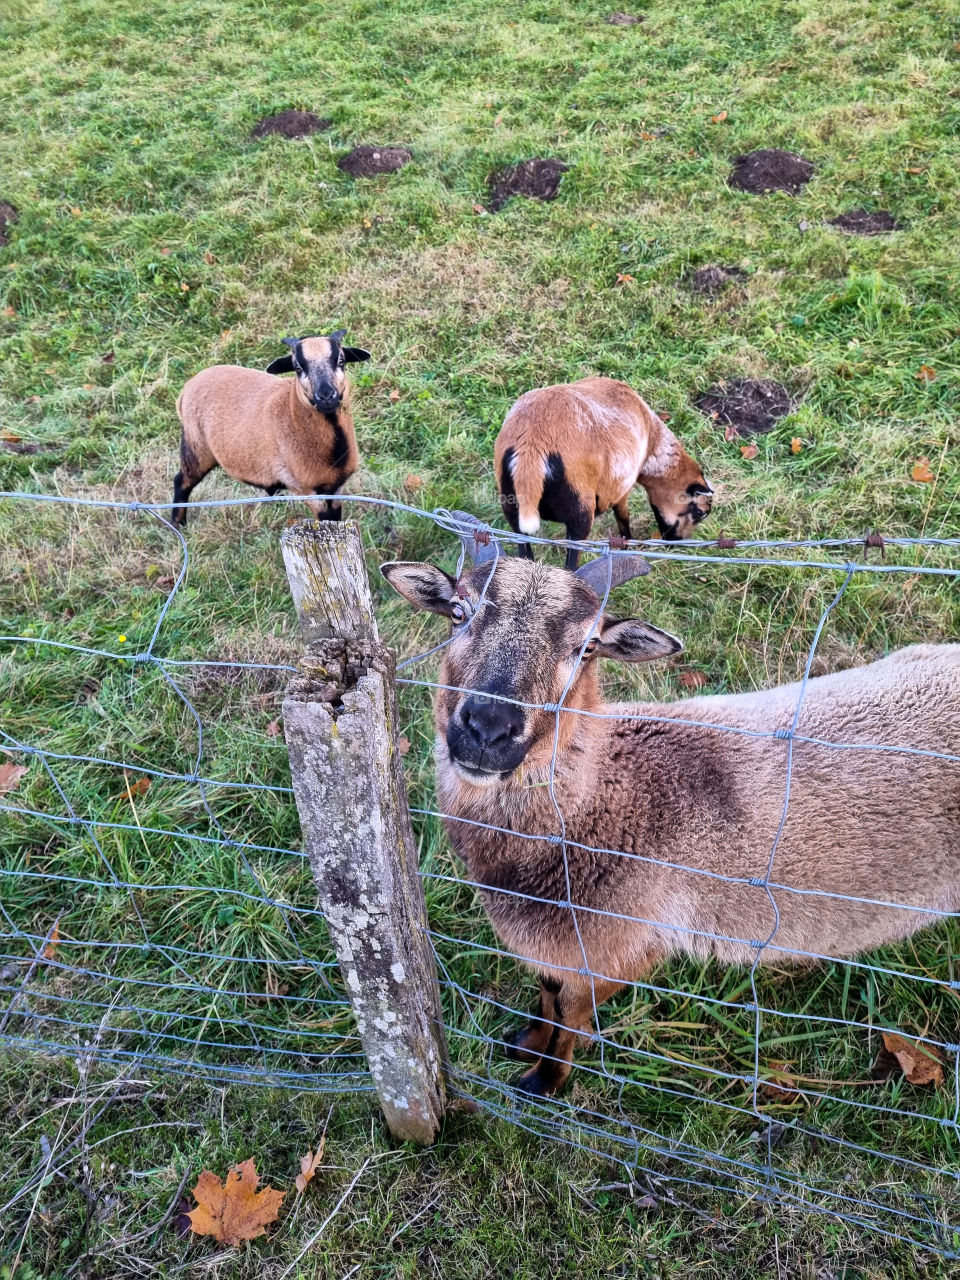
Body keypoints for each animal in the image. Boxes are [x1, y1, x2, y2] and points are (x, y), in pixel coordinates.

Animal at [172, 329, 370, 525]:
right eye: (298, 368)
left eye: (341, 361)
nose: (326, 396)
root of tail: (188, 386)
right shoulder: (306, 489)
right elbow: (325, 519)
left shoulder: (336, 487)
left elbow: (335, 517)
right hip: (197, 446)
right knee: (181, 481)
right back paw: (178, 523)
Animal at [382, 529, 960, 1096]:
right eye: (458, 612)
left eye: (587, 647)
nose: (488, 728)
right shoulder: (553, 947)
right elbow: (546, 994)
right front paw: (526, 1042)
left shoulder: (617, 954)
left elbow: (569, 1016)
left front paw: (544, 1080)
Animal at [494, 377, 713, 569]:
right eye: (700, 513)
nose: (675, 542)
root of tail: (532, 444)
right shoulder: (621, 489)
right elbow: (623, 518)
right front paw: (627, 547)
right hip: (580, 510)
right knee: (571, 565)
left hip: (512, 507)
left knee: (524, 554)